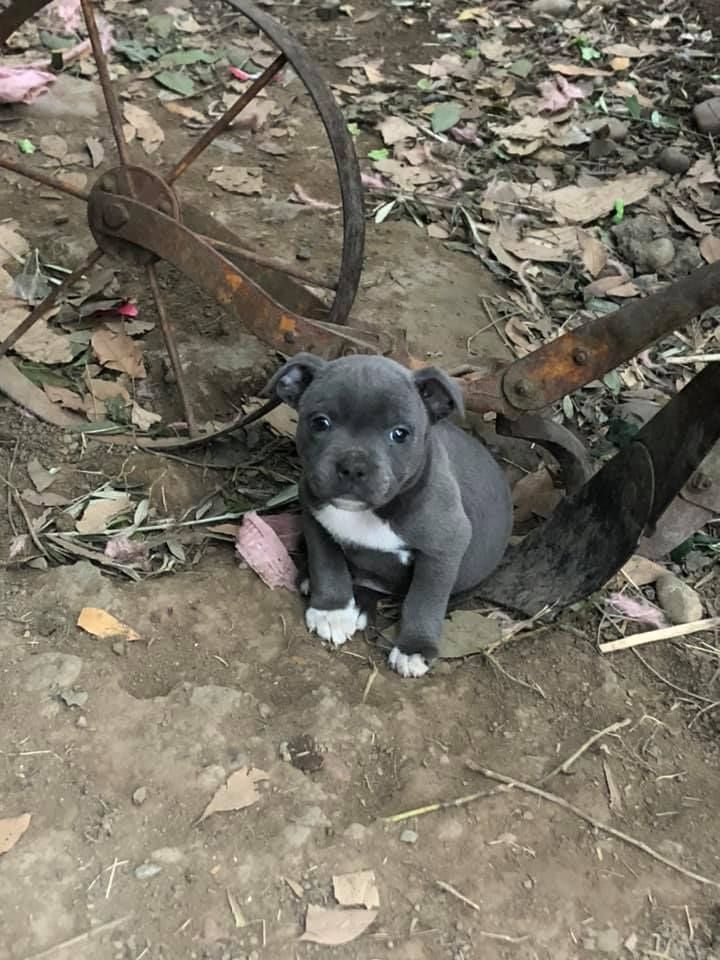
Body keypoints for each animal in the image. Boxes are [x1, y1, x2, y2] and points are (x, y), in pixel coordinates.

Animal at [266, 350, 512, 676]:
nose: (353, 466)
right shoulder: (316, 517)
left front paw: (415, 647)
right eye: (320, 423)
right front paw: (332, 609)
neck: (370, 512)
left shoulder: (444, 548)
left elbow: (425, 599)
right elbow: (327, 564)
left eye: (400, 434)